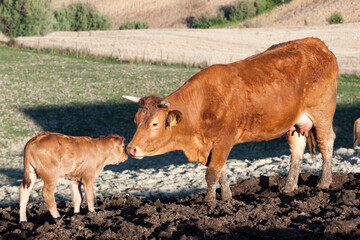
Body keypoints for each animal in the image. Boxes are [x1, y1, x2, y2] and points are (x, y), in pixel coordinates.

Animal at [123, 38, 338, 202]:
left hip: (322, 113)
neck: (202, 103)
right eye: (135, 120)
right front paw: (227, 198)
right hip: (295, 122)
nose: (131, 149)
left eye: (155, 124)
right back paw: (289, 187)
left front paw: (209, 202)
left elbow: (212, 174)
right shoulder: (215, 144)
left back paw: (324, 182)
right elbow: (221, 171)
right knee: (297, 149)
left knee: (326, 142)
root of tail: (318, 44)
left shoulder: (223, 140)